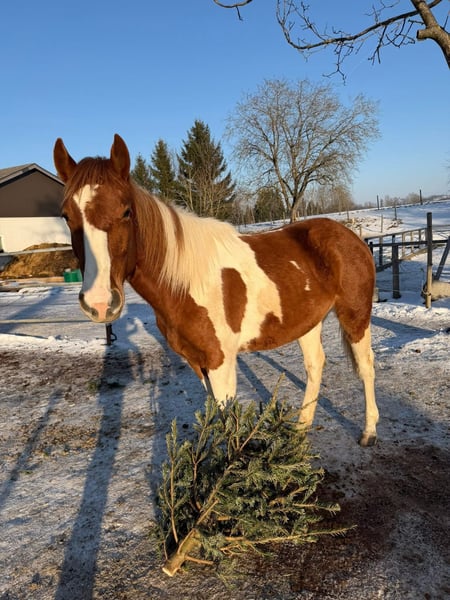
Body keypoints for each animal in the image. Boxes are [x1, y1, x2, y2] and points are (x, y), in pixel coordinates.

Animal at [53, 134, 379, 446]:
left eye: (126, 211)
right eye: (67, 216)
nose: (99, 303)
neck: (186, 283)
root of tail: (351, 236)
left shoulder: (221, 362)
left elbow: (227, 419)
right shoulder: (198, 362)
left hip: (355, 316)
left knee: (366, 366)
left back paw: (369, 432)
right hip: (308, 322)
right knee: (315, 365)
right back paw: (300, 429)